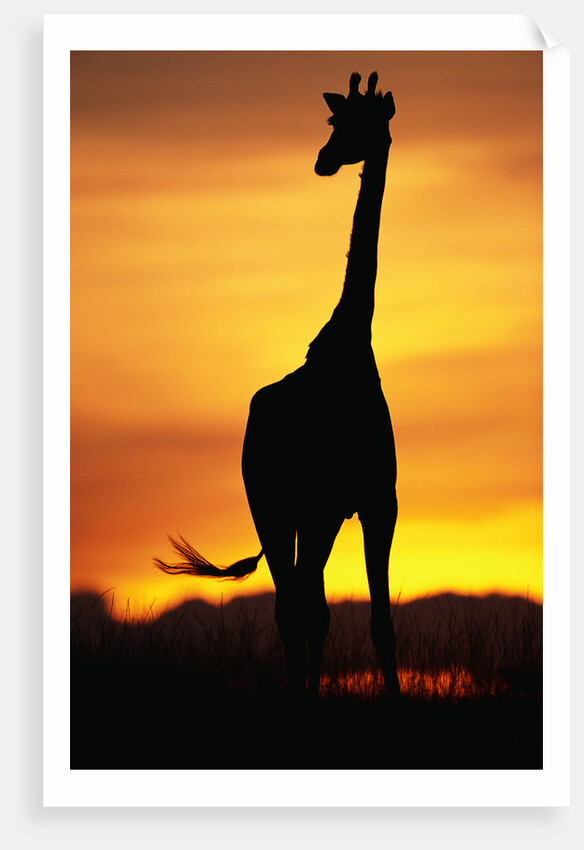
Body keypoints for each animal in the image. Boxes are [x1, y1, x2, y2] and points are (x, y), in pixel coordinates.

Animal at [155, 72, 400, 700]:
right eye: (335, 122)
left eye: (363, 123)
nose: (323, 161)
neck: (350, 340)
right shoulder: (348, 501)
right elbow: (344, 616)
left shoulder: (371, 501)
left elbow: (375, 621)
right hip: (273, 503)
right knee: (293, 605)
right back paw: (298, 693)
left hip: (309, 514)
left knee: (309, 602)